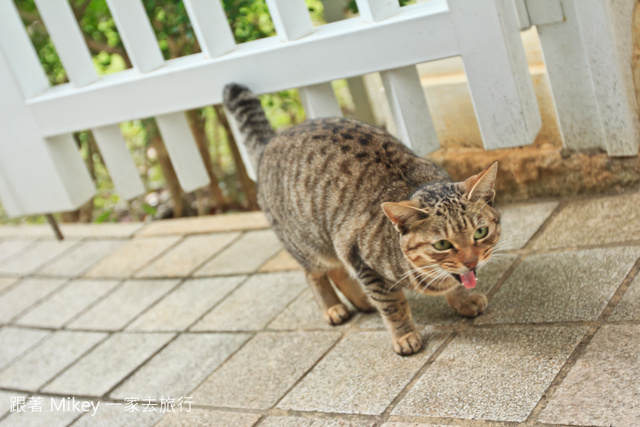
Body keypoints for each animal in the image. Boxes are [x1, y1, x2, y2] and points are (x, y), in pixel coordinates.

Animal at [224, 83, 500, 354]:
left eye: (480, 232)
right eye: (442, 244)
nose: (472, 261)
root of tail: (271, 139)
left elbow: (457, 284)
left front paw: (464, 300)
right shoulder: (362, 260)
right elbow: (393, 306)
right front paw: (404, 335)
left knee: (338, 270)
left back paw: (361, 301)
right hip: (310, 243)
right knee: (315, 274)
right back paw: (333, 307)